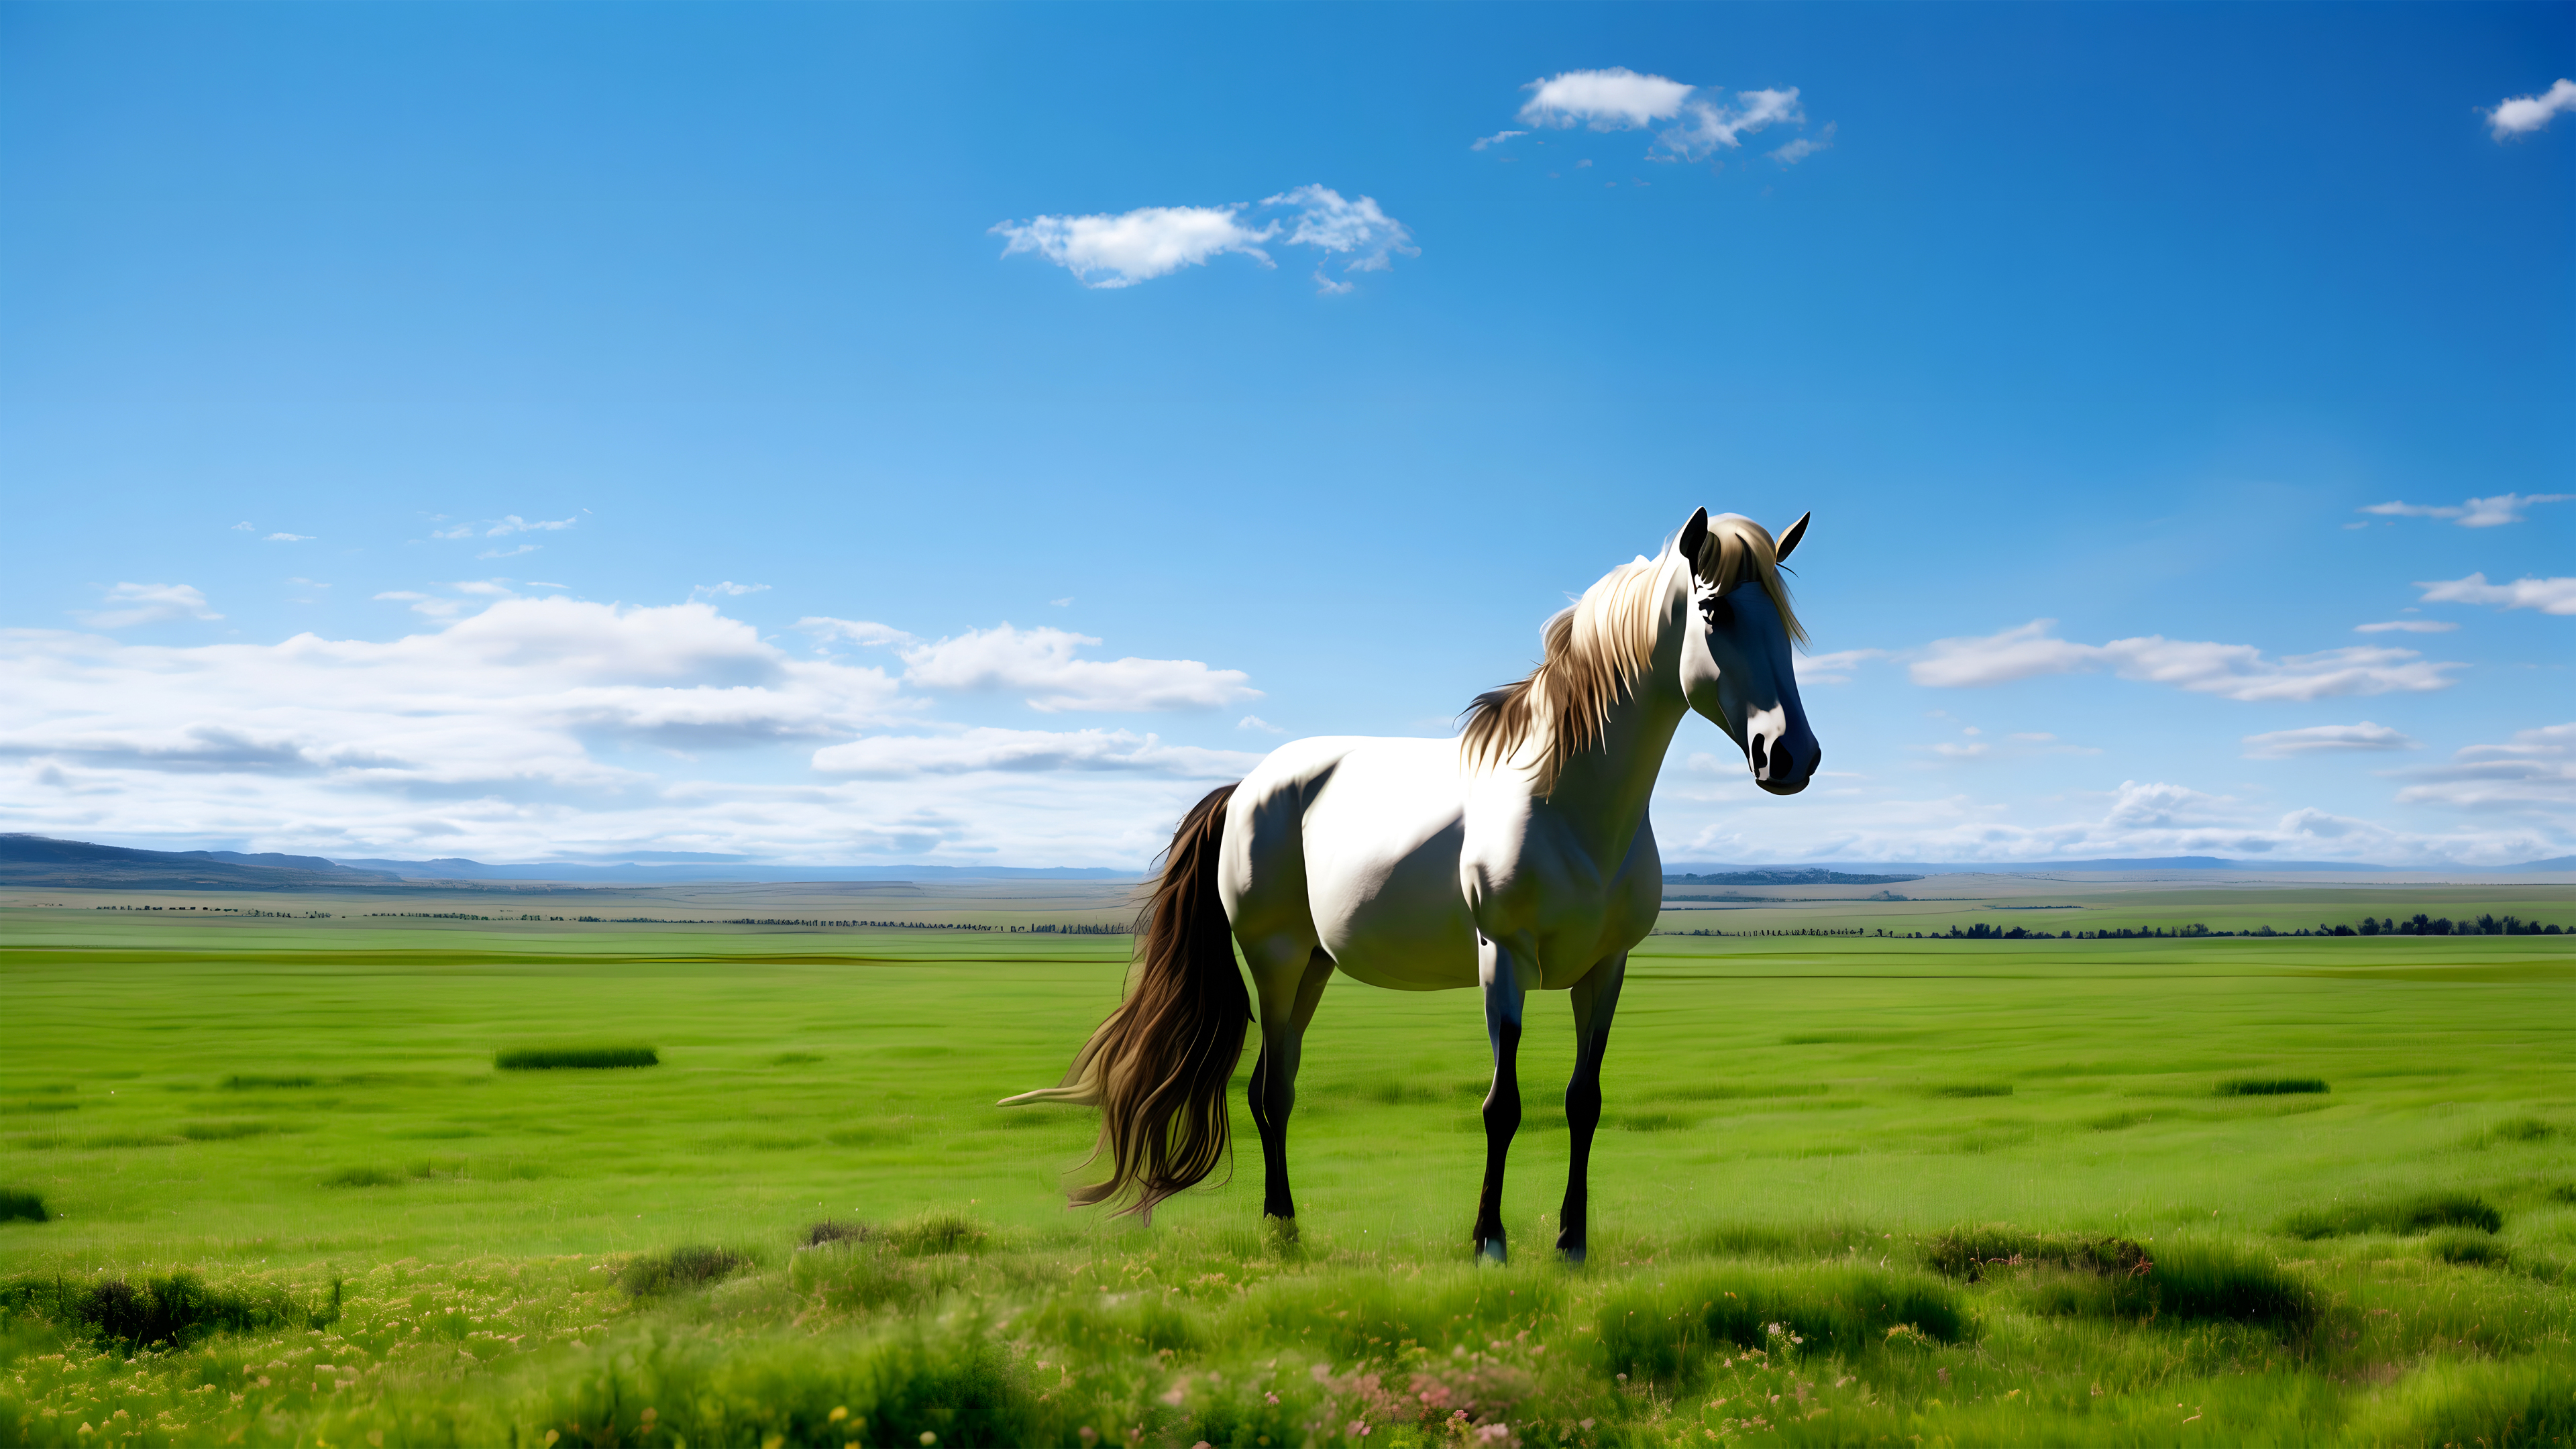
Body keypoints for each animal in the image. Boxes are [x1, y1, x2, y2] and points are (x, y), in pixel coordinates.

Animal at [994, 502, 1823, 1258]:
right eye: (1714, 610)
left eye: (1786, 623)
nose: (1790, 755)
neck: (1566, 799)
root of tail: (1248, 786)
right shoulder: (1503, 960)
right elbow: (1503, 1105)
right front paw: (1489, 1241)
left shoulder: (1606, 969)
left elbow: (1582, 1101)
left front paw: (1571, 1242)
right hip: (1276, 959)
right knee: (1268, 1089)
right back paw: (1281, 1226)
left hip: (1316, 966)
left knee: (1279, 1081)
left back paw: (1284, 1222)